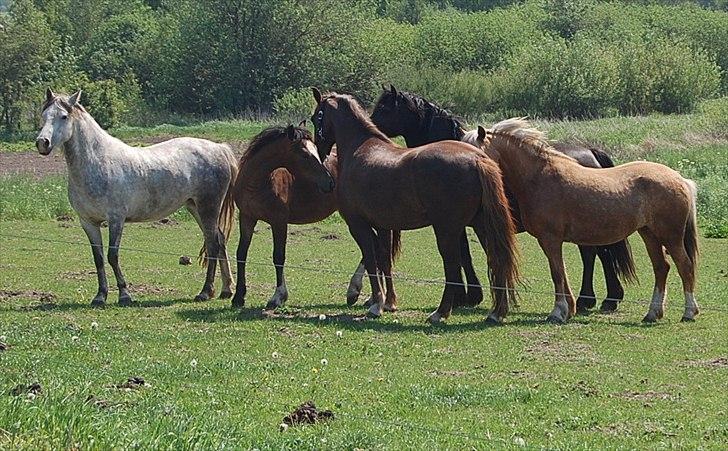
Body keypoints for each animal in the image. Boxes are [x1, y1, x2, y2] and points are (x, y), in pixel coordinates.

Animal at [36, 89, 236, 308]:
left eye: (64, 116)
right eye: (44, 115)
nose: (42, 143)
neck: (98, 162)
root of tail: (219, 148)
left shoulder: (116, 219)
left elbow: (112, 255)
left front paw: (125, 295)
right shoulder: (88, 222)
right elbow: (98, 258)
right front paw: (100, 296)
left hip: (208, 207)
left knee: (213, 244)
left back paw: (205, 292)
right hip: (195, 208)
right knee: (219, 240)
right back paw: (226, 290)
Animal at [230, 125, 400, 312]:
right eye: (305, 155)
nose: (329, 182)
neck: (258, 182)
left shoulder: (278, 222)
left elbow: (278, 257)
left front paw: (278, 297)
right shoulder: (247, 218)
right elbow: (241, 253)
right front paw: (238, 297)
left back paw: (358, 292)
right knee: (374, 247)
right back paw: (368, 298)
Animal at [310, 88, 520, 324]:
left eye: (316, 117)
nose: (320, 151)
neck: (360, 149)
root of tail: (477, 159)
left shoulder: (358, 224)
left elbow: (372, 260)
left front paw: (375, 304)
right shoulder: (384, 226)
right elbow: (384, 260)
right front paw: (388, 302)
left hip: (447, 230)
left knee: (453, 265)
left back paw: (441, 312)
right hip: (483, 226)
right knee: (497, 259)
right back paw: (496, 312)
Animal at [372, 85, 636, 312]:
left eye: (384, 108)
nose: (371, 126)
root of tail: (590, 151)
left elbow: (466, 254)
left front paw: (468, 296)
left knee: (596, 254)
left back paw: (596, 299)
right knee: (597, 254)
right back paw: (602, 298)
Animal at [466, 119, 700, 324]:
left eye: (478, 151)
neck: (539, 177)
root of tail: (681, 179)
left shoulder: (549, 239)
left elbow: (557, 274)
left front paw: (558, 312)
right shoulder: (552, 241)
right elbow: (562, 273)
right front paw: (568, 311)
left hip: (670, 236)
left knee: (685, 266)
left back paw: (689, 312)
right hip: (649, 234)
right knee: (662, 268)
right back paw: (652, 313)